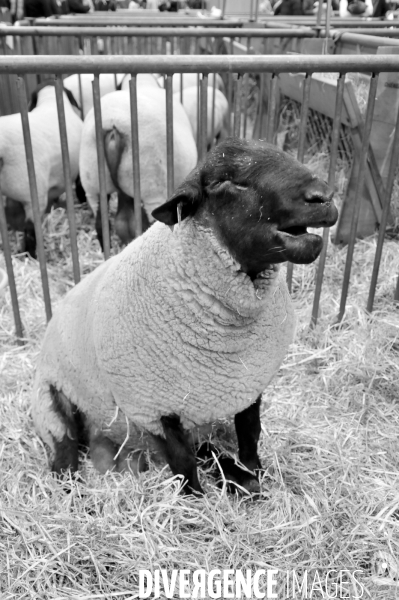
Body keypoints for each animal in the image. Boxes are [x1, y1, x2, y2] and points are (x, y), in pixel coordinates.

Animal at [32, 138, 338, 494]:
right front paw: (195, 499)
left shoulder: (249, 382)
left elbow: (250, 433)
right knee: (64, 454)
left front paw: (254, 472)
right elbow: (182, 461)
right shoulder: (153, 407)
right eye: (223, 182)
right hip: (52, 401)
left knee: (203, 447)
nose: (323, 197)